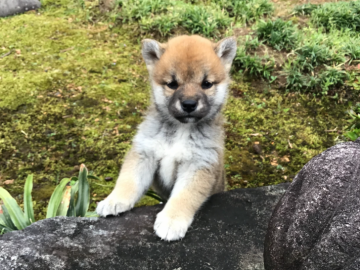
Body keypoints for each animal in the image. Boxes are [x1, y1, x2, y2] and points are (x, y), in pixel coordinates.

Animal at [96, 34, 236, 240]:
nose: (189, 104)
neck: (181, 129)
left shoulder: (198, 164)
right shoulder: (144, 153)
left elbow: (183, 197)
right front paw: (114, 200)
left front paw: (172, 221)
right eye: (172, 84)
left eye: (206, 84)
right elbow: (129, 181)